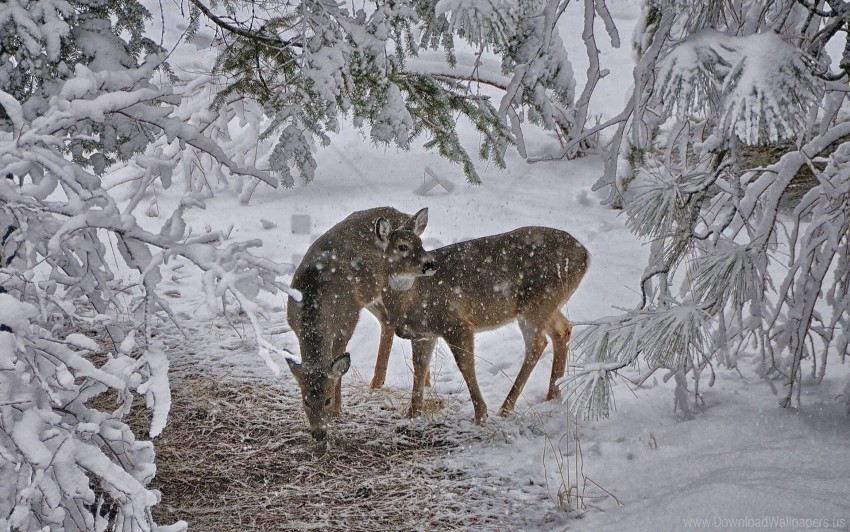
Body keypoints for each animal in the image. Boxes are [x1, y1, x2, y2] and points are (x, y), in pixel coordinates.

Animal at [286, 206, 434, 438]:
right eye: (305, 401)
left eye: (327, 400)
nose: (318, 433)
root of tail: (404, 216)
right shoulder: (293, 324)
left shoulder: (348, 319)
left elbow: (338, 364)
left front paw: (337, 412)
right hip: (371, 294)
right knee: (387, 321)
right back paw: (378, 383)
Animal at [378, 227, 588, 426]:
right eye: (402, 246)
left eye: (420, 243)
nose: (430, 264)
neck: (411, 299)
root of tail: (585, 254)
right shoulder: (424, 334)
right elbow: (420, 366)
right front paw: (412, 413)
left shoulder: (456, 323)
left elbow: (465, 364)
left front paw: (480, 415)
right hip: (548, 305)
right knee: (563, 330)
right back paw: (553, 395)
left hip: (537, 303)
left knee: (537, 344)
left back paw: (505, 408)